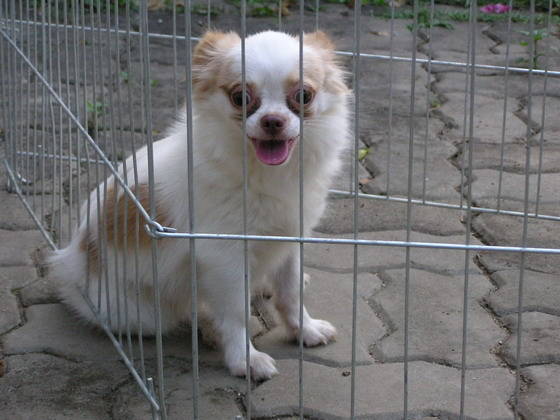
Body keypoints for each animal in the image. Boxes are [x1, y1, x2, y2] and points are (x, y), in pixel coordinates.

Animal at [48, 30, 350, 380]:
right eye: (240, 97)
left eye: (304, 95)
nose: (272, 120)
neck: (262, 172)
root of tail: (70, 264)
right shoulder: (225, 258)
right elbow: (235, 314)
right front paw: (245, 359)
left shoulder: (290, 237)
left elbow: (290, 294)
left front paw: (305, 329)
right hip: (142, 313)